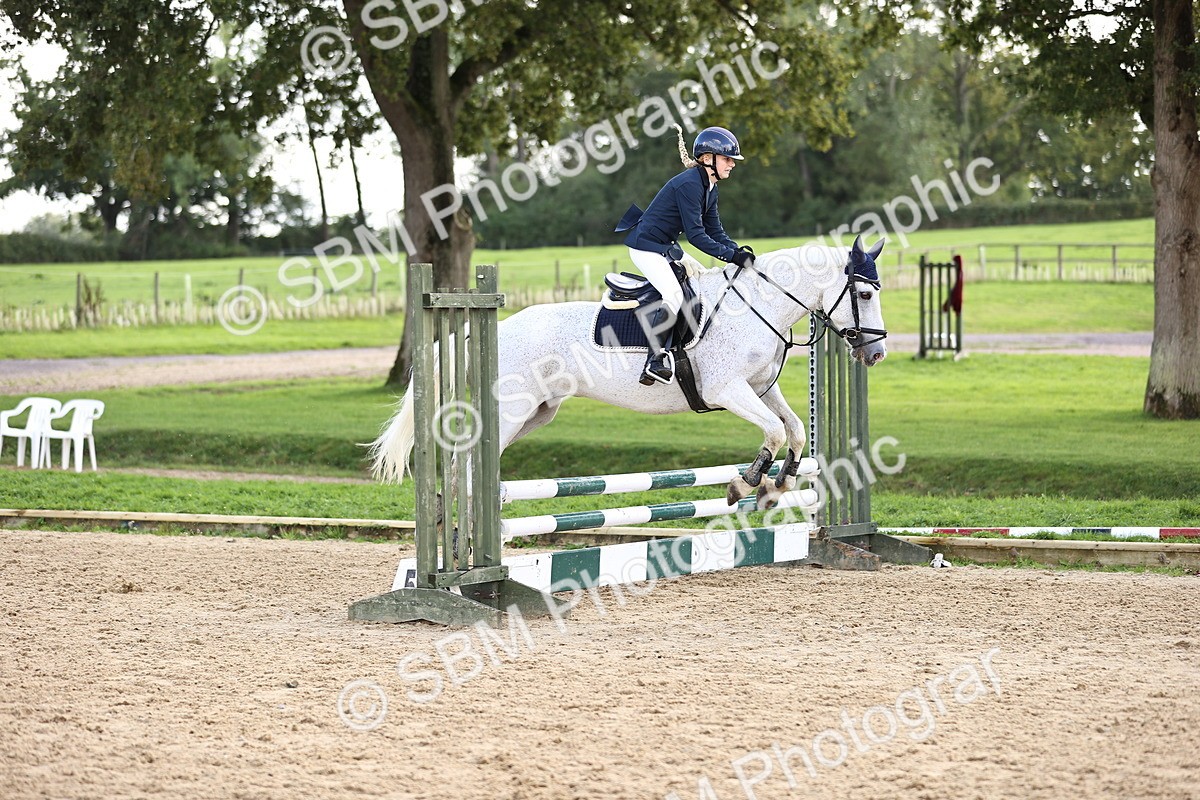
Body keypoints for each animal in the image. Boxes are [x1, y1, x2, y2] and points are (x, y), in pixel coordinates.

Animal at [370, 235, 889, 510]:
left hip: (536, 414)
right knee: (470, 463)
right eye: (864, 294)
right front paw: (746, 484)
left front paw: (778, 487)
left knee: (471, 463)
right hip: (511, 411)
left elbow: (795, 430)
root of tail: (492, 326)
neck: (758, 305)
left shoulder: (761, 388)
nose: (876, 354)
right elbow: (775, 433)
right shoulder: (728, 390)